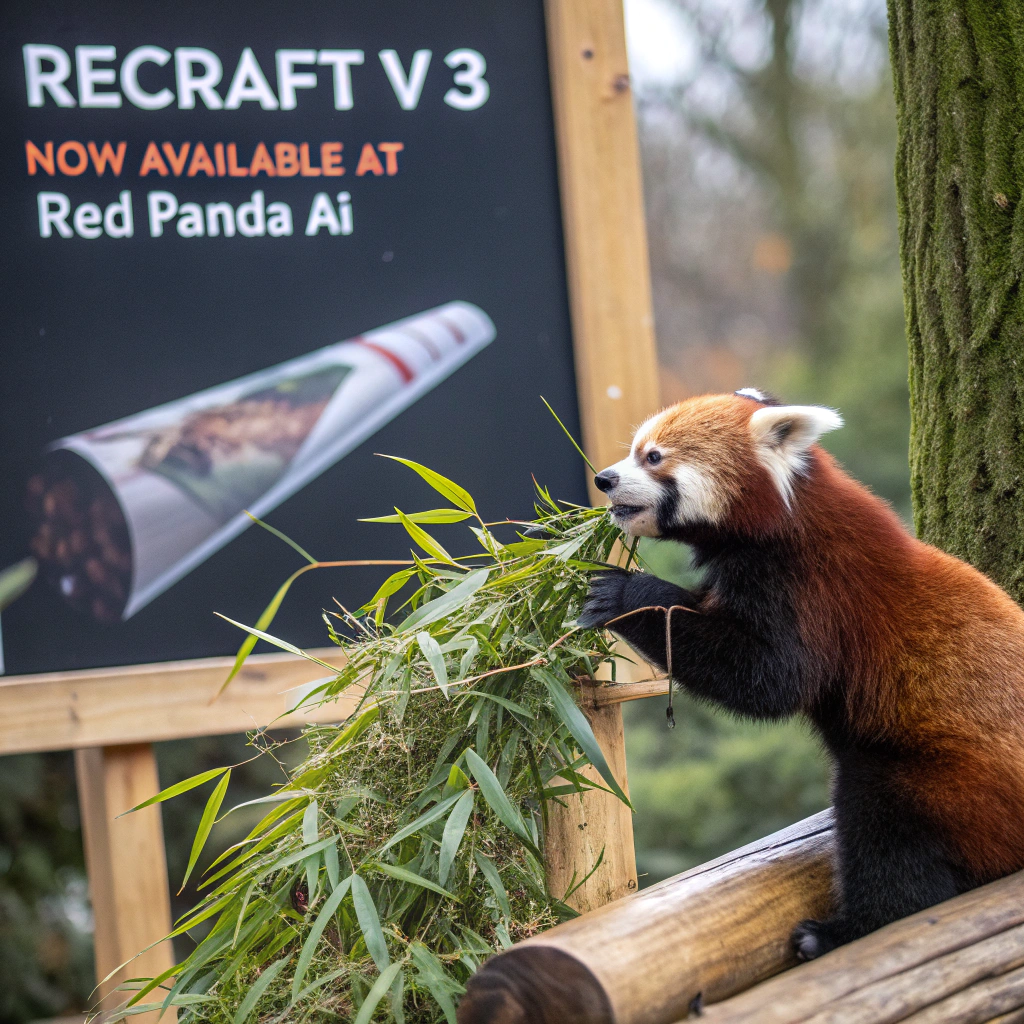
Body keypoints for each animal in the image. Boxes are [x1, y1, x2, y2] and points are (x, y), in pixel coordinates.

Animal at [579, 389, 1024, 960]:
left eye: (653, 457)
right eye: (634, 451)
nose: (604, 480)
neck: (788, 515)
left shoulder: (812, 587)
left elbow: (770, 680)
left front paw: (623, 593)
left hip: (947, 782)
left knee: (884, 829)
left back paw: (846, 928)